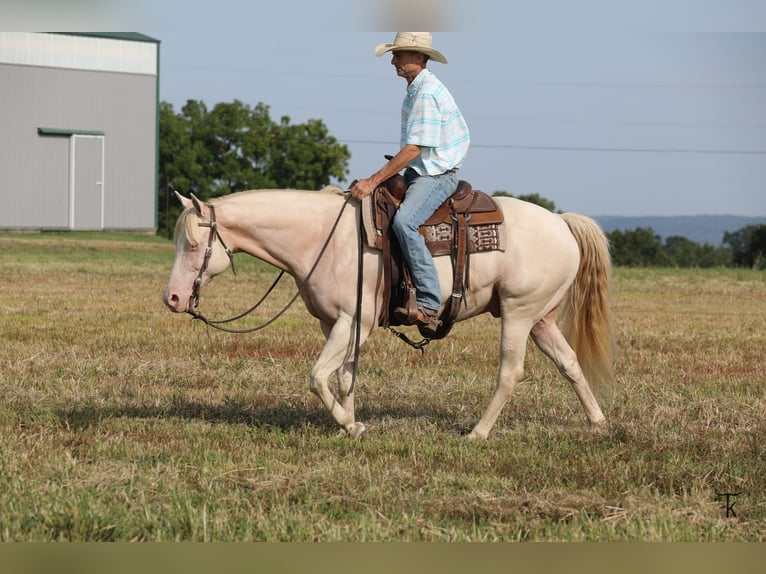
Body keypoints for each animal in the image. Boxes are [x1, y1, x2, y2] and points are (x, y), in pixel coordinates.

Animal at [162, 188, 615, 439]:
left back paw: (478, 433)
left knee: (510, 372)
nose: (173, 298)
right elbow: (344, 376)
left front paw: (350, 425)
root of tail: (561, 222)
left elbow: (317, 376)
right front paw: (350, 422)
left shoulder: (353, 321)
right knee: (569, 362)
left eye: (192, 245)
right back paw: (597, 422)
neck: (324, 239)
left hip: (519, 314)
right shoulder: (336, 324)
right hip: (541, 319)